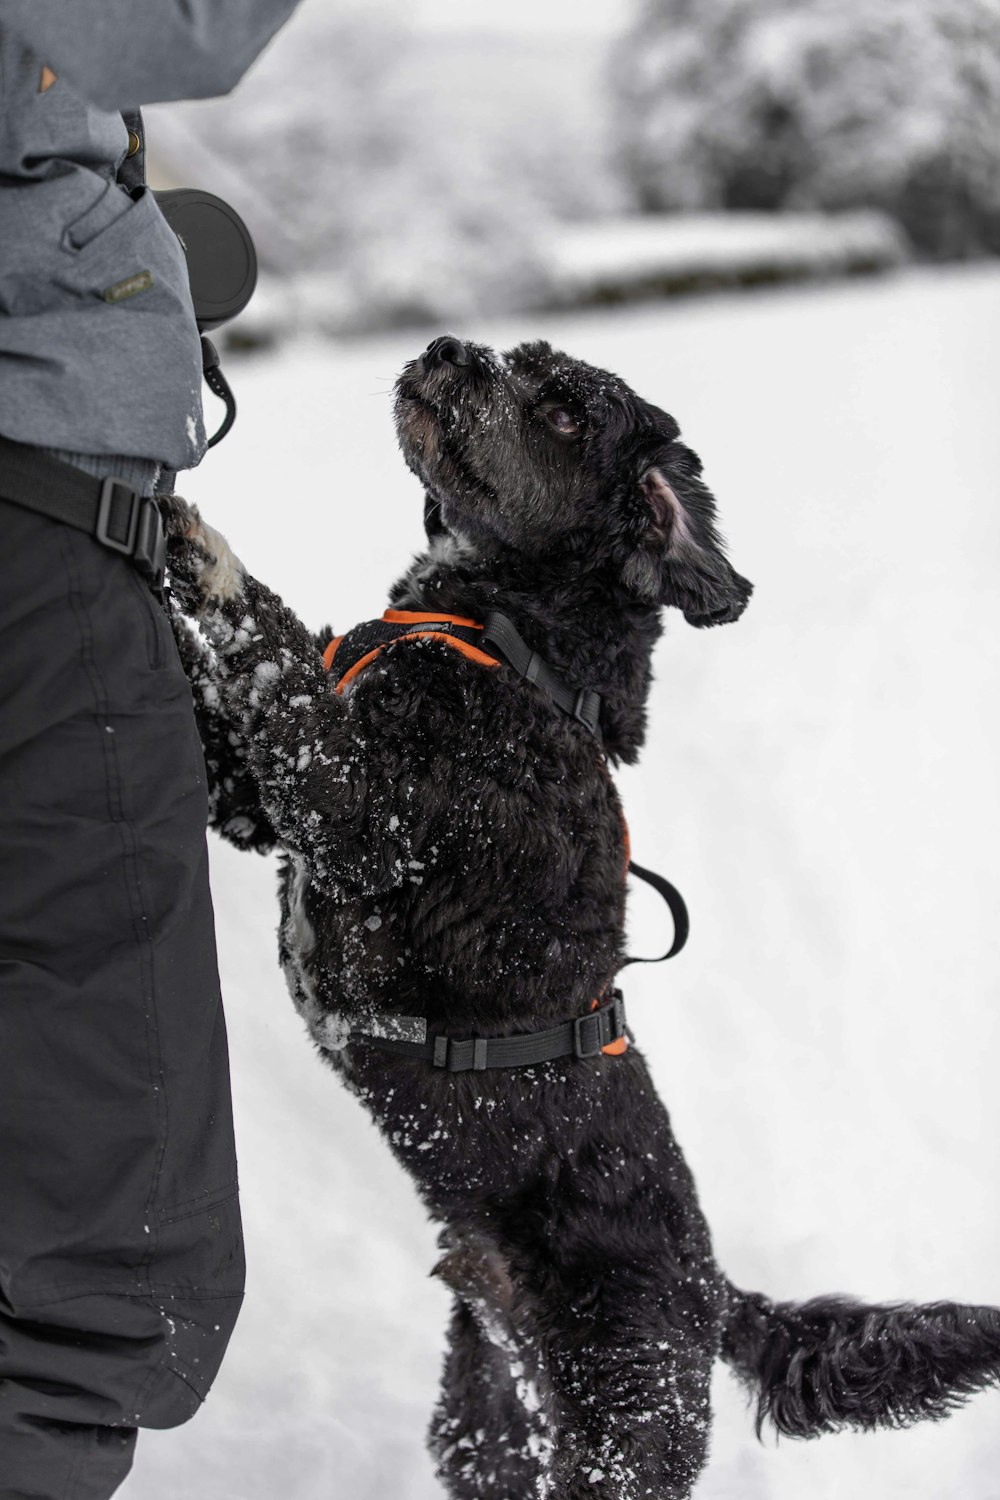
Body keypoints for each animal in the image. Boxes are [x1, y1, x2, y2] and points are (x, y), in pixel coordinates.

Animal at [164, 340, 1000, 1500]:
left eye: (564, 413)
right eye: (522, 363)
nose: (445, 349)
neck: (510, 650)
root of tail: (714, 1294)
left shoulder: (364, 813)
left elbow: (277, 656)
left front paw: (205, 552)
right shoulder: (255, 802)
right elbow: (223, 709)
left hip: (625, 1430)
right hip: (486, 1426)